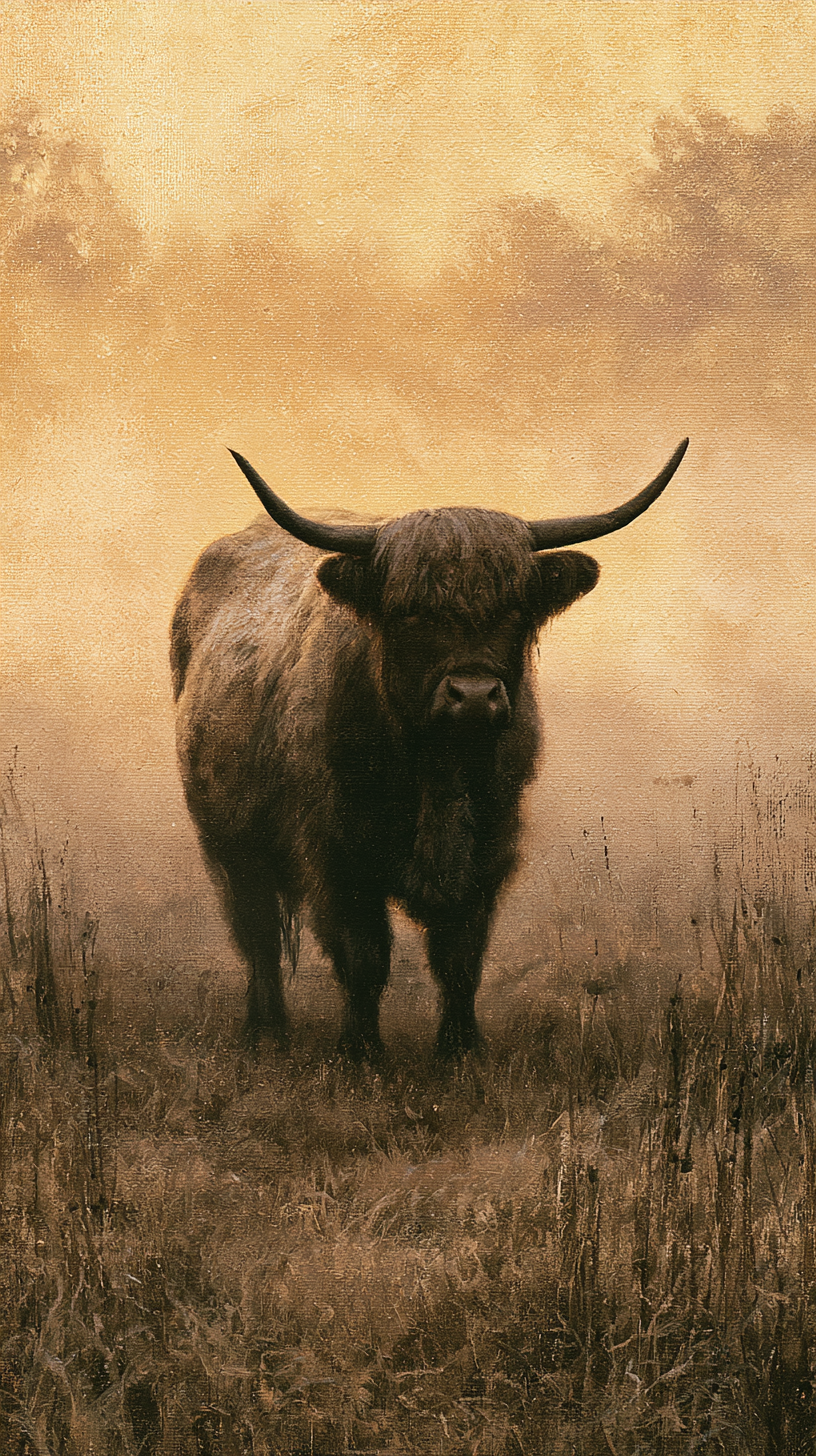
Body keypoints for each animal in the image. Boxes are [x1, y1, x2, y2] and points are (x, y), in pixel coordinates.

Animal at [171, 439, 688, 1059]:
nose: (474, 696)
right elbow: (363, 956)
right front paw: (362, 1054)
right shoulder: (336, 854)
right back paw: (266, 1029)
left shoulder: (489, 847)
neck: (437, 770)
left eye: (514, 611)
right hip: (229, 842)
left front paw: (461, 1050)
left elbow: (460, 957)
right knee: (258, 936)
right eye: (411, 612)